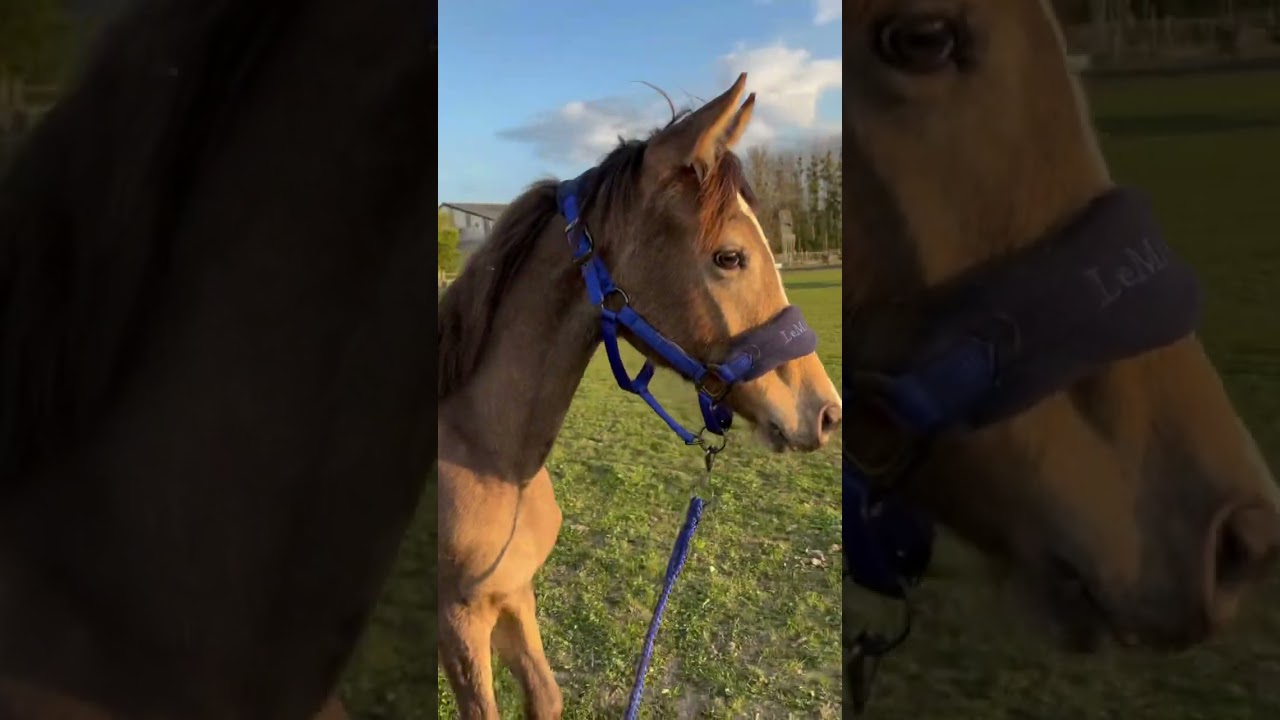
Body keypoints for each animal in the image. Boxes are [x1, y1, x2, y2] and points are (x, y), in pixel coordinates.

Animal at [437, 74, 843, 718]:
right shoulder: (459, 623)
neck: (484, 449)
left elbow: (545, 695)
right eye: (730, 256)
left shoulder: (514, 595)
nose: (826, 413)